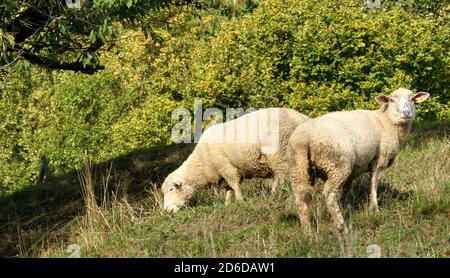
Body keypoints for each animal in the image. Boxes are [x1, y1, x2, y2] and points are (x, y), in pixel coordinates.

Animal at [161, 107, 310, 212]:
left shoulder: (226, 166)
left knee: (281, 175)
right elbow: (229, 188)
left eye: (171, 189)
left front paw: (240, 201)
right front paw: (227, 204)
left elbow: (234, 184)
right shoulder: (227, 171)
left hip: (277, 151)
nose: (167, 211)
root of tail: (302, 118)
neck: (202, 163)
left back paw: (274, 193)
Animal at [286, 87, 430, 237]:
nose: (406, 113)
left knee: (301, 197)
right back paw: (341, 226)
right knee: (329, 194)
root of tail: (304, 137)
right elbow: (373, 184)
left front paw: (347, 206)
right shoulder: (380, 160)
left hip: (299, 167)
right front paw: (374, 209)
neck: (387, 121)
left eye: (412, 99)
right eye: (392, 100)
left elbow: (346, 190)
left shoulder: (354, 170)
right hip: (337, 164)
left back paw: (307, 231)